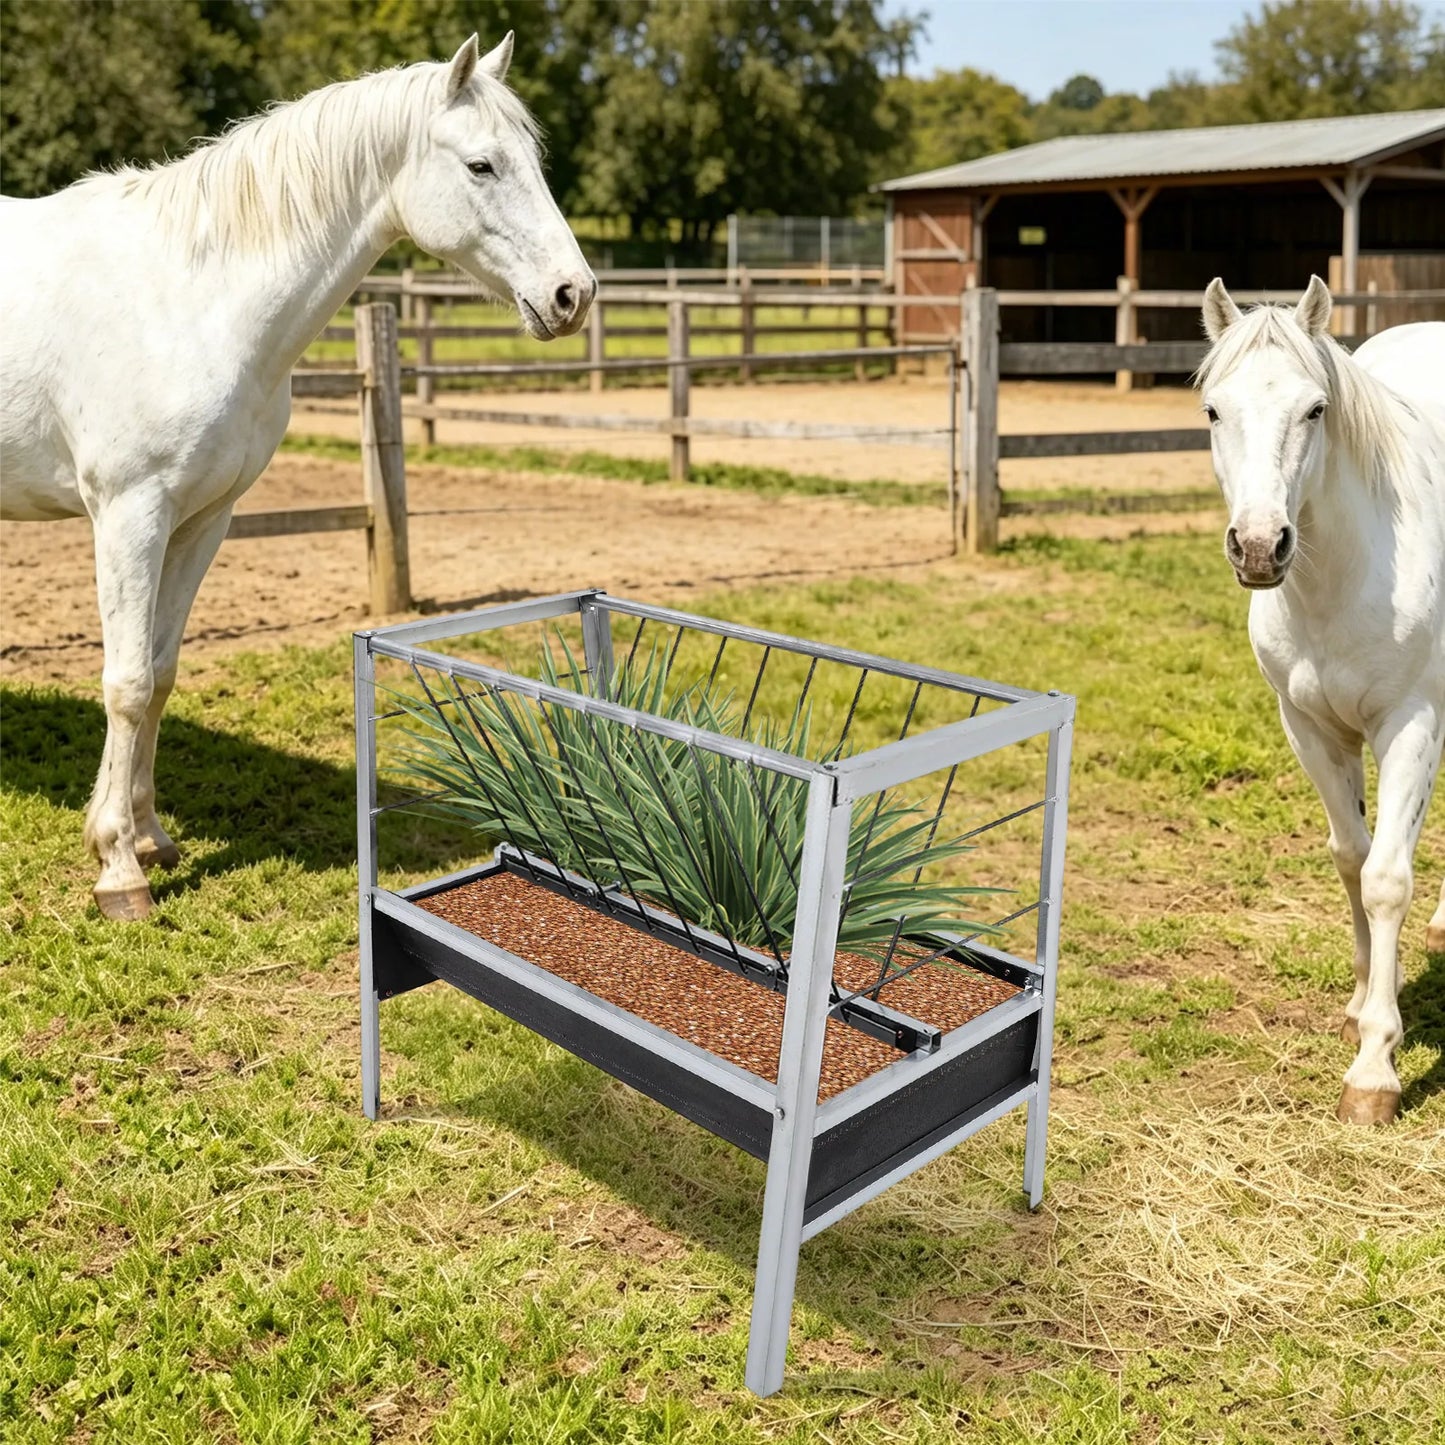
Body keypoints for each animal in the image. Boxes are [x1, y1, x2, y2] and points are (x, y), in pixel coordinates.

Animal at [0, 35, 594, 922]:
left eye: (533, 158)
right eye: (482, 165)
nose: (573, 294)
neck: (192, 298)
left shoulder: (201, 518)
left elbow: (162, 673)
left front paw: (149, 835)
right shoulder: (129, 513)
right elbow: (127, 681)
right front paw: (118, 868)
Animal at [1197, 276, 1445, 1125]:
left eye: (1313, 409)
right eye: (1213, 410)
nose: (1258, 545)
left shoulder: (1410, 725)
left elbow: (1387, 879)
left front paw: (1373, 1070)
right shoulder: (1306, 726)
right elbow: (1351, 857)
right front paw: (1365, 1003)